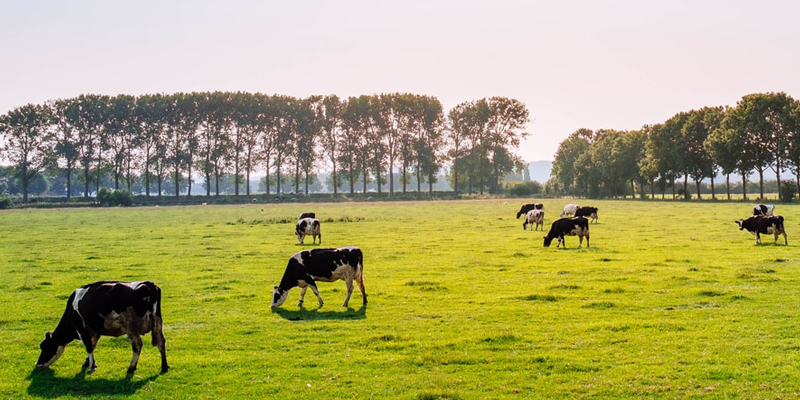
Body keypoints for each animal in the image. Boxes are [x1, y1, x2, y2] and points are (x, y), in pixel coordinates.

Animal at [35, 282, 170, 376]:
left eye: (44, 347)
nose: (37, 365)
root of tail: (148, 284)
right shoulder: (95, 330)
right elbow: (93, 345)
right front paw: (88, 363)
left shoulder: (81, 328)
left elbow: (88, 346)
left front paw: (91, 367)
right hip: (158, 322)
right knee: (161, 342)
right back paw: (164, 366)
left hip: (130, 325)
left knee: (137, 345)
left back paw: (131, 368)